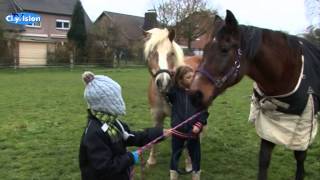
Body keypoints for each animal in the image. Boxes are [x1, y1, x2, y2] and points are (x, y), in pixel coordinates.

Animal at [144, 27, 202, 167]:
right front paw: (151, 160)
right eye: (152, 53)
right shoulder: (156, 116)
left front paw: (189, 163)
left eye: (171, 53)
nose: (163, 82)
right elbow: (155, 136)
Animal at [189, 10, 318, 180]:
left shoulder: (303, 127)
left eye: (224, 49)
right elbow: (264, 160)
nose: (194, 94)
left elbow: (300, 158)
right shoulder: (270, 127)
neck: (288, 73)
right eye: (204, 50)